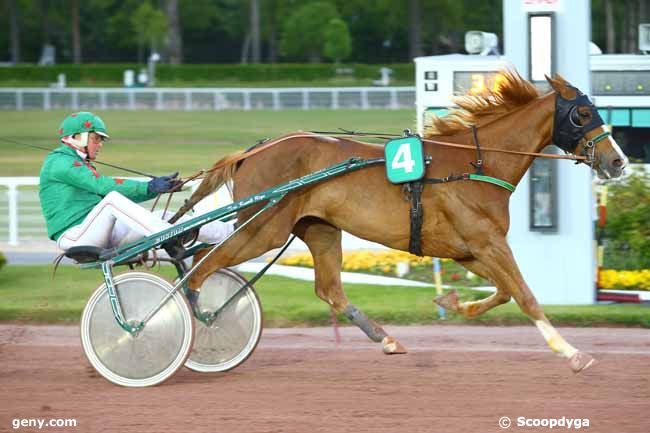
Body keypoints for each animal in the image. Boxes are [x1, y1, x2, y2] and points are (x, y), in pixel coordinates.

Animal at [172, 73, 624, 372]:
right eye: (584, 113)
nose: (617, 161)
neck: (475, 165)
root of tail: (253, 151)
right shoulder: (487, 242)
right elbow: (525, 295)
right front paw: (570, 352)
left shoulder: (469, 248)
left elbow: (503, 292)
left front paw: (453, 302)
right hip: (263, 229)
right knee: (205, 265)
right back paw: (198, 315)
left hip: (319, 229)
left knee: (329, 289)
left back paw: (387, 339)